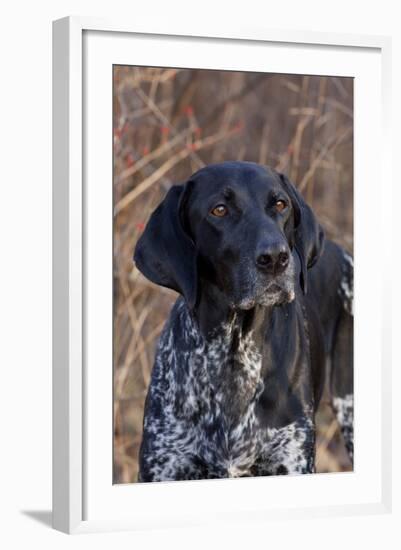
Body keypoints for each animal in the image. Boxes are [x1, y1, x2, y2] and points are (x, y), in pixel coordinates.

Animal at [133, 161, 352, 484]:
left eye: (280, 204)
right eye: (220, 210)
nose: (275, 258)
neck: (233, 355)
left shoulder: (291, 458)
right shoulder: (164, 466)